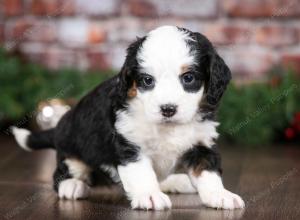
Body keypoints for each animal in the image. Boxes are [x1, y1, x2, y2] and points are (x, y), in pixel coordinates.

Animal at [12, 25, 245, 210]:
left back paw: (176, 182)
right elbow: (141, 173)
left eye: (188, 78)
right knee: (63, 173)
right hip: (72, 151)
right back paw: (73, 185)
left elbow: (209, 174)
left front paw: (221, 195)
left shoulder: (201, 144)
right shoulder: (130, 145)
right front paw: (149, 196)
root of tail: (59, 126)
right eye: (147, 80)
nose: (168, 109)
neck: (168, 126)